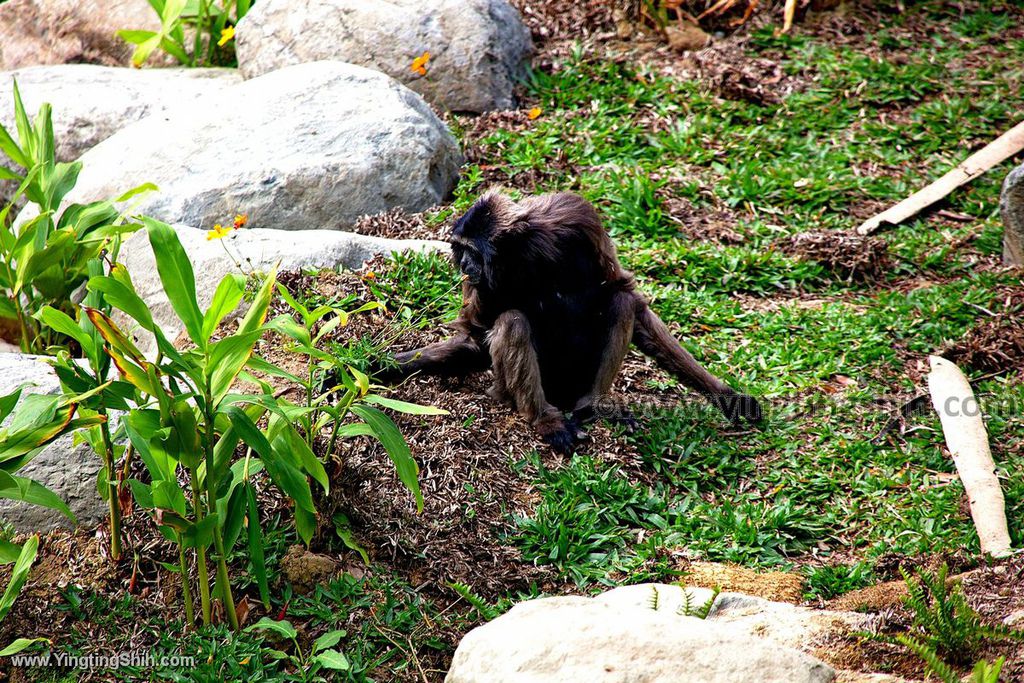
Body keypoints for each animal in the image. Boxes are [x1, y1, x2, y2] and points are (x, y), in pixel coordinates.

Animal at [382, 189, 761, 450]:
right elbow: (474, 337)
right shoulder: (481, 282)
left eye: (469, 250)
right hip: (509, 388)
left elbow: (626, 294)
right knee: (513, 320)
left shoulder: (576, 215)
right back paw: (544, 419)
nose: (462, 264)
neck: (521, 253)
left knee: (620, 301)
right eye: (459, 249)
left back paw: (593, 405)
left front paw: (725, 395)